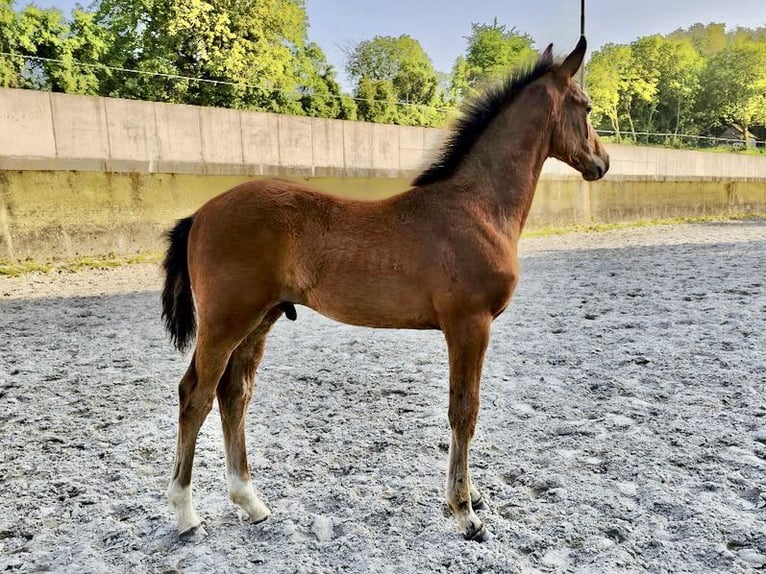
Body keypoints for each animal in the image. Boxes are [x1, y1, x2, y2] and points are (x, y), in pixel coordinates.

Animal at [162, 37, 612, 544]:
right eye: (586, 106)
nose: (602, 162)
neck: (477, 208)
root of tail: (200, 214)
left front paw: (472, 496)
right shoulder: (469, 325)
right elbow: (464, 411)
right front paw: (464, 511)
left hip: (260, 319)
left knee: (233, 394)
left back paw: (251, 503)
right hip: (225, 321)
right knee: (195, 395)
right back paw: (186, 515)